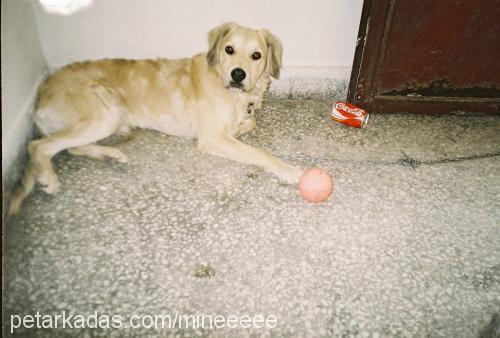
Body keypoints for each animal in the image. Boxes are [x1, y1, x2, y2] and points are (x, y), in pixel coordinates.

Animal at [8, 22, 300, 215]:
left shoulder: (234, 124)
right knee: (39, 146)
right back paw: (49, 178)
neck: (226, 84)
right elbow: (261, 154)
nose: (238, 74)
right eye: (229, 49)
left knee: (70, 147)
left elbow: (249, 123)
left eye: (256, 55)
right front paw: (290, 170)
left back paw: (111, 156)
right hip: (103, 115)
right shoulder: (212, 138)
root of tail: (41, 92)